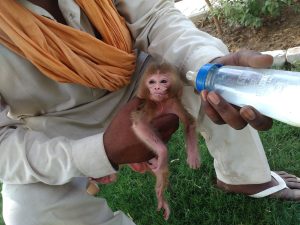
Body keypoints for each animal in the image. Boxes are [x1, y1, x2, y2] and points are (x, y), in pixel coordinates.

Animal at [131, 61, 202, 220]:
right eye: (152, 82)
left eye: (163, 81)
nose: (156, 88)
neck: (161, 103)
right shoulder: (149, 104)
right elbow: (139, 125)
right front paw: (163, 152)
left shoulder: (173, 103)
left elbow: (189, 123)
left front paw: (193, 156)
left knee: (160, 170)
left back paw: (161, 197)